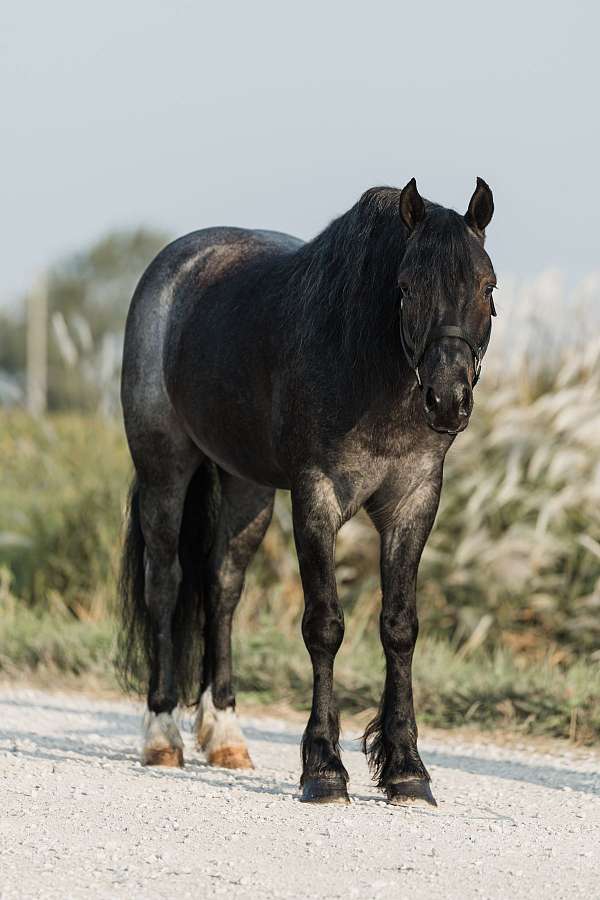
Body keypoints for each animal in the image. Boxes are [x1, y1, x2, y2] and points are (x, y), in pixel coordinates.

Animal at [118, 177, 496, 806]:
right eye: (406, 286)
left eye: (487, 286)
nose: (448, 401)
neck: (368, 369)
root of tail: (174, 267)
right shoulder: (316, 498)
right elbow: (324, 625)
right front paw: (324, 769)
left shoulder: (414, 502)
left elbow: (400, 627)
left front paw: (407, 769)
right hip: (164, 470)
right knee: (166, 586)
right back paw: (162, 736)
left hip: (246, 488)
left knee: (223, 588)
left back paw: (226, 736)